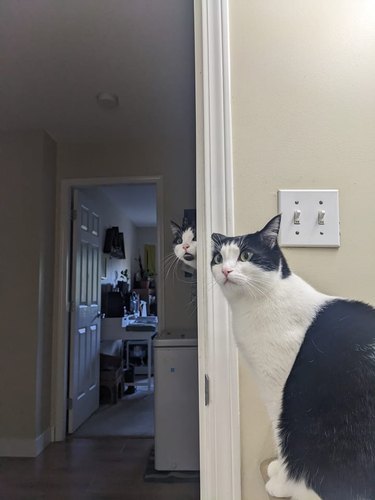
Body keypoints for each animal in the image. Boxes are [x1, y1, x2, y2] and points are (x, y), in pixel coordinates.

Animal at [213, 216, 375, 500]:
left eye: (245, 255)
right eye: (218, 258)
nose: (226, 271)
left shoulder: (279, 389)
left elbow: (282, 435)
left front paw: (282, 482)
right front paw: (279, 470)